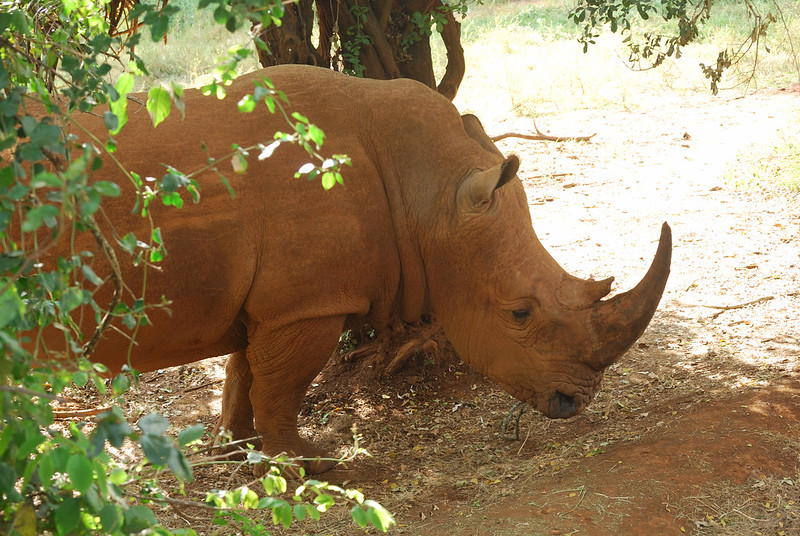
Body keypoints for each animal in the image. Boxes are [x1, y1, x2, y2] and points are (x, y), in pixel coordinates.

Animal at [21, 65, 671, 473]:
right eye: (518, 313)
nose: (576, 401)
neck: (426, 187)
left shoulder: (278, 301)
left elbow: (244, 373)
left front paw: (238, 451)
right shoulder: (309, 303)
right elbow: (281, 386)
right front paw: (307, 466)